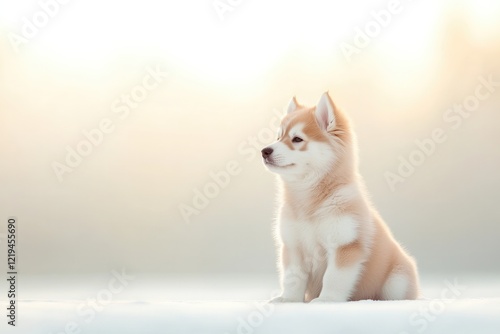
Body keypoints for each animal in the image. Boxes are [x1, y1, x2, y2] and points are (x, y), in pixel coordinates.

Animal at [262, 92, 418, 302]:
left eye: (297, 139)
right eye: (278, 137)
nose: (264, 151)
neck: (308, 198)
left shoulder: (344, 245)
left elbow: (333, 278)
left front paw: (326, 300)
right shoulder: (293, 247)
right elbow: (292, 279)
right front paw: (288, 300)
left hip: (397, 281)